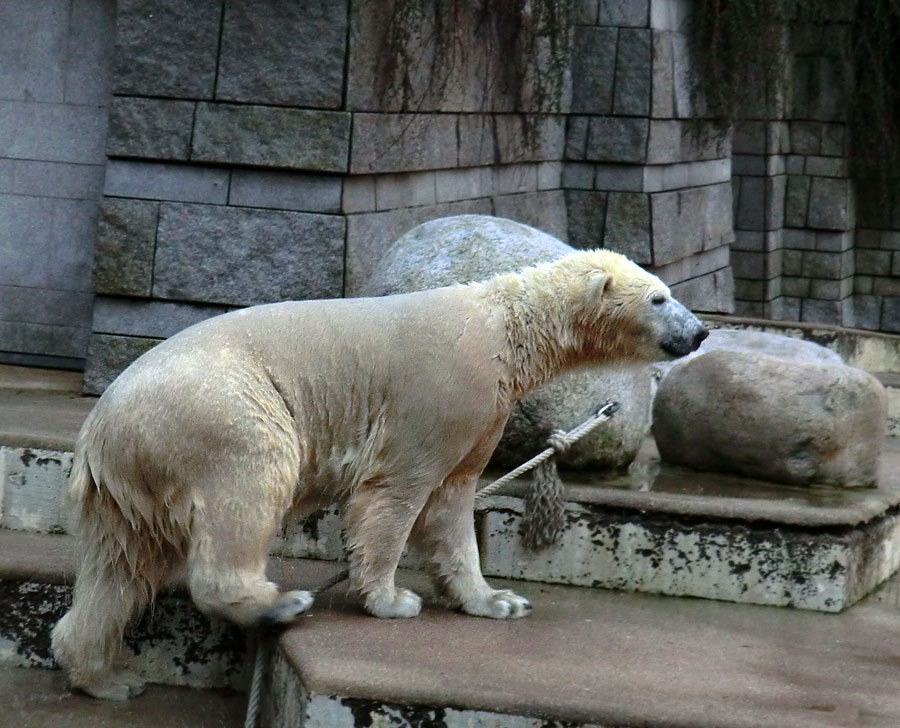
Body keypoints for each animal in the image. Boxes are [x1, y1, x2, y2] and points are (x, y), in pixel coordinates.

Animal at [51, 249, 712, 700]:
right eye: (659, 298)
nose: (702, 330)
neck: (505, 326)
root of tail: (99, 427)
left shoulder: (484, 412)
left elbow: (453, 503)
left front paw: (497, 600)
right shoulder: (445, 391)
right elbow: (399, 493)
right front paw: (393, 600)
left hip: (127, 480)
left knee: (120, 567)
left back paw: (106, 675)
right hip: (218, 411)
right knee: (251, 483)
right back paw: (279, 603)